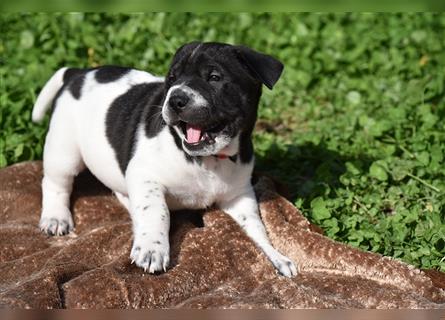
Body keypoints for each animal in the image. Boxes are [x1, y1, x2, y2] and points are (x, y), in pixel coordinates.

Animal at [33, 42, 296, 278]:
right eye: (172, 78)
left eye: (214, 77)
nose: (175, 99)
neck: (208, 159)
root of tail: (78, 73)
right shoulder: (144, 175)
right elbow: (157, 211)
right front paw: (152, 249)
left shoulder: (239, 195)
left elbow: (256, 227)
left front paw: (277, 256)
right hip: (64, 149)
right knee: (55, 183)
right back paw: (56, 217)